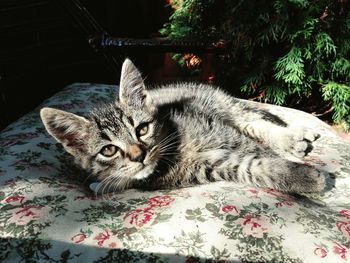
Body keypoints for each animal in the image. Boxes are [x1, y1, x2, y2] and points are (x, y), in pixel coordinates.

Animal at [40, 58, 326, 195]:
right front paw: (302, 178)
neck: (171, 156)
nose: (139, 155)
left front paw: (300, 173)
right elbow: (251, 167)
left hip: (221, 107)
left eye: (142, 129)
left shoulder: (220, 130)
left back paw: (296, 137)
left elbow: (260, 152)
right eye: (108, 150)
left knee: (256, 121)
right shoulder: (214, 167)